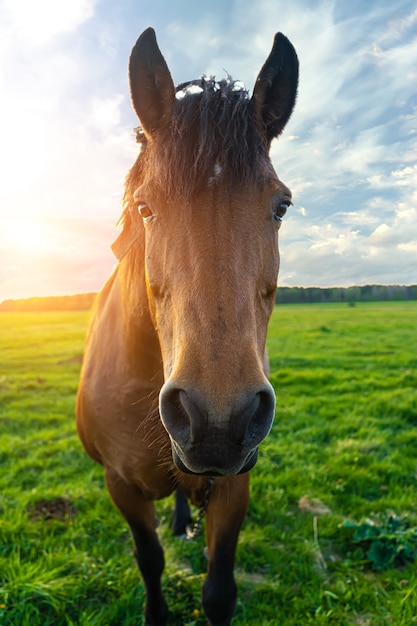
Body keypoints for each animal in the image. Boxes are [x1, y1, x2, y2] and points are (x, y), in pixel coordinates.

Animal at [76, 25, 298, 624]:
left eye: (282, 207)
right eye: (146, 207)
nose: (219, 420)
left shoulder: (235, 485)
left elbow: (219, 590)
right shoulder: (119, 486)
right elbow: (148, 559)